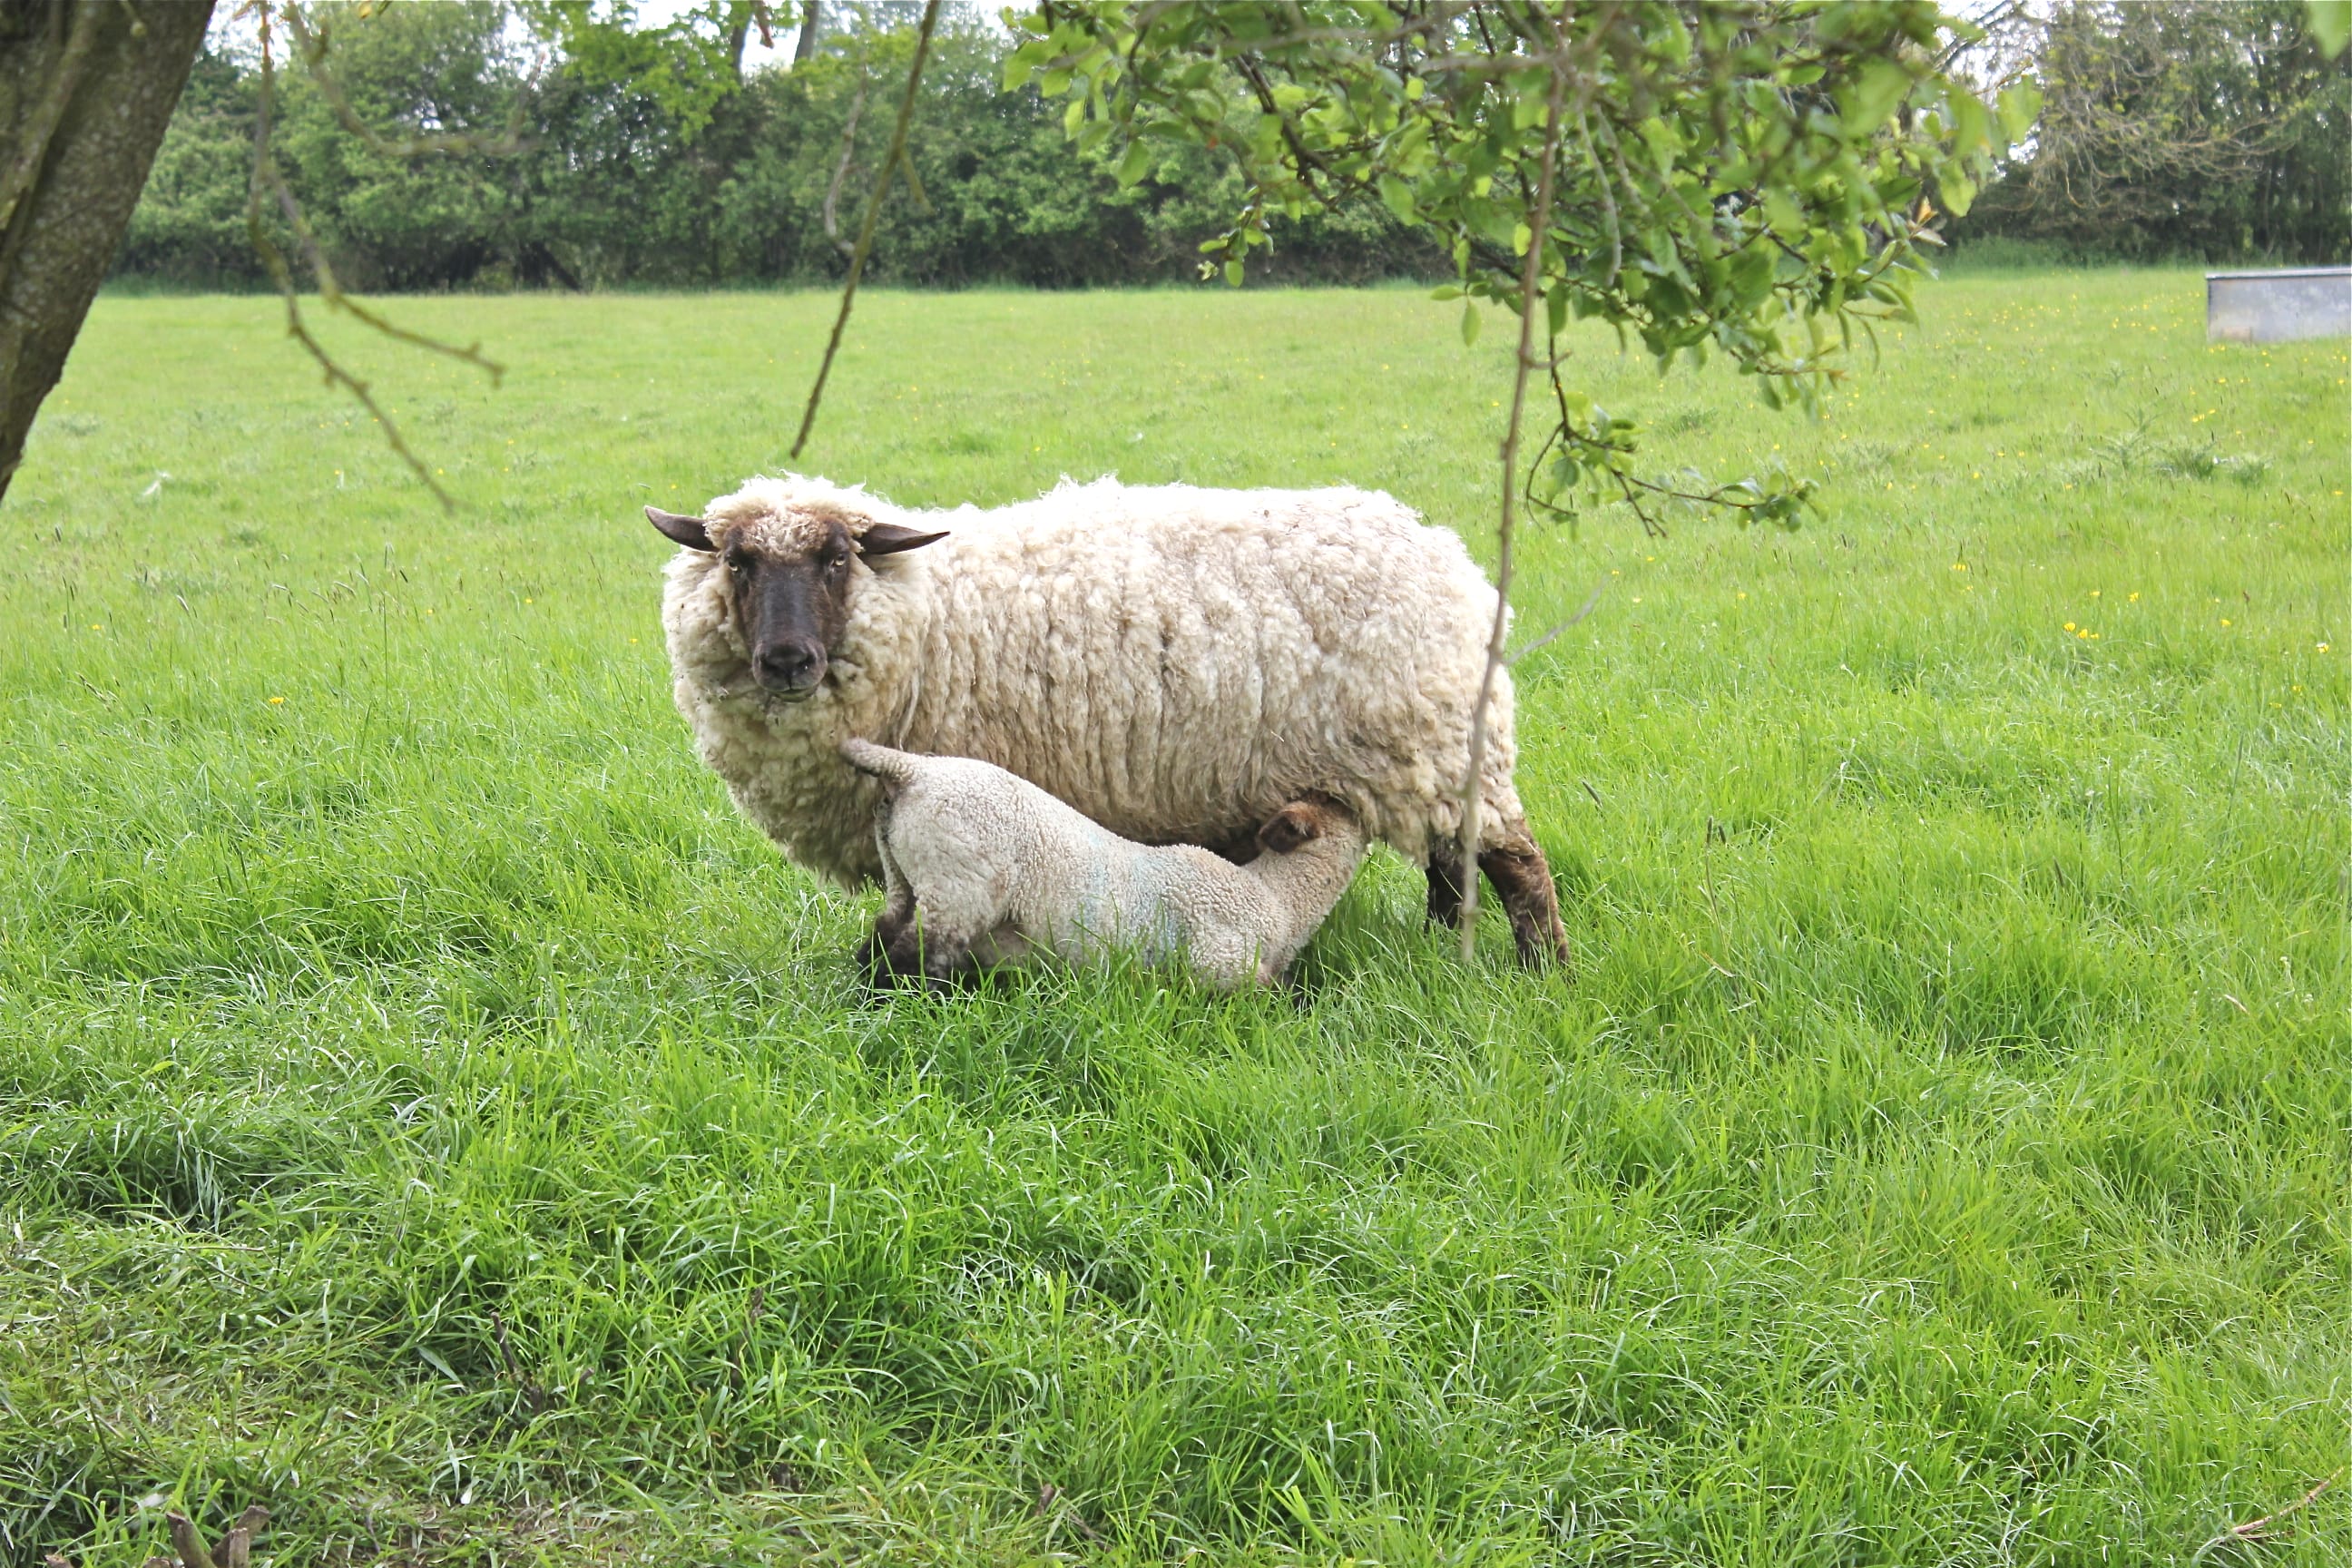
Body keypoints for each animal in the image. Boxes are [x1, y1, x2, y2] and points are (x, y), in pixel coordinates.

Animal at [840, 738, 1363, 989]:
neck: (1278, 902)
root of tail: (915, 771)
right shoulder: (1219, 964)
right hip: (958, 882)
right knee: (909, 957)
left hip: (904, 873)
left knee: (880, 937)